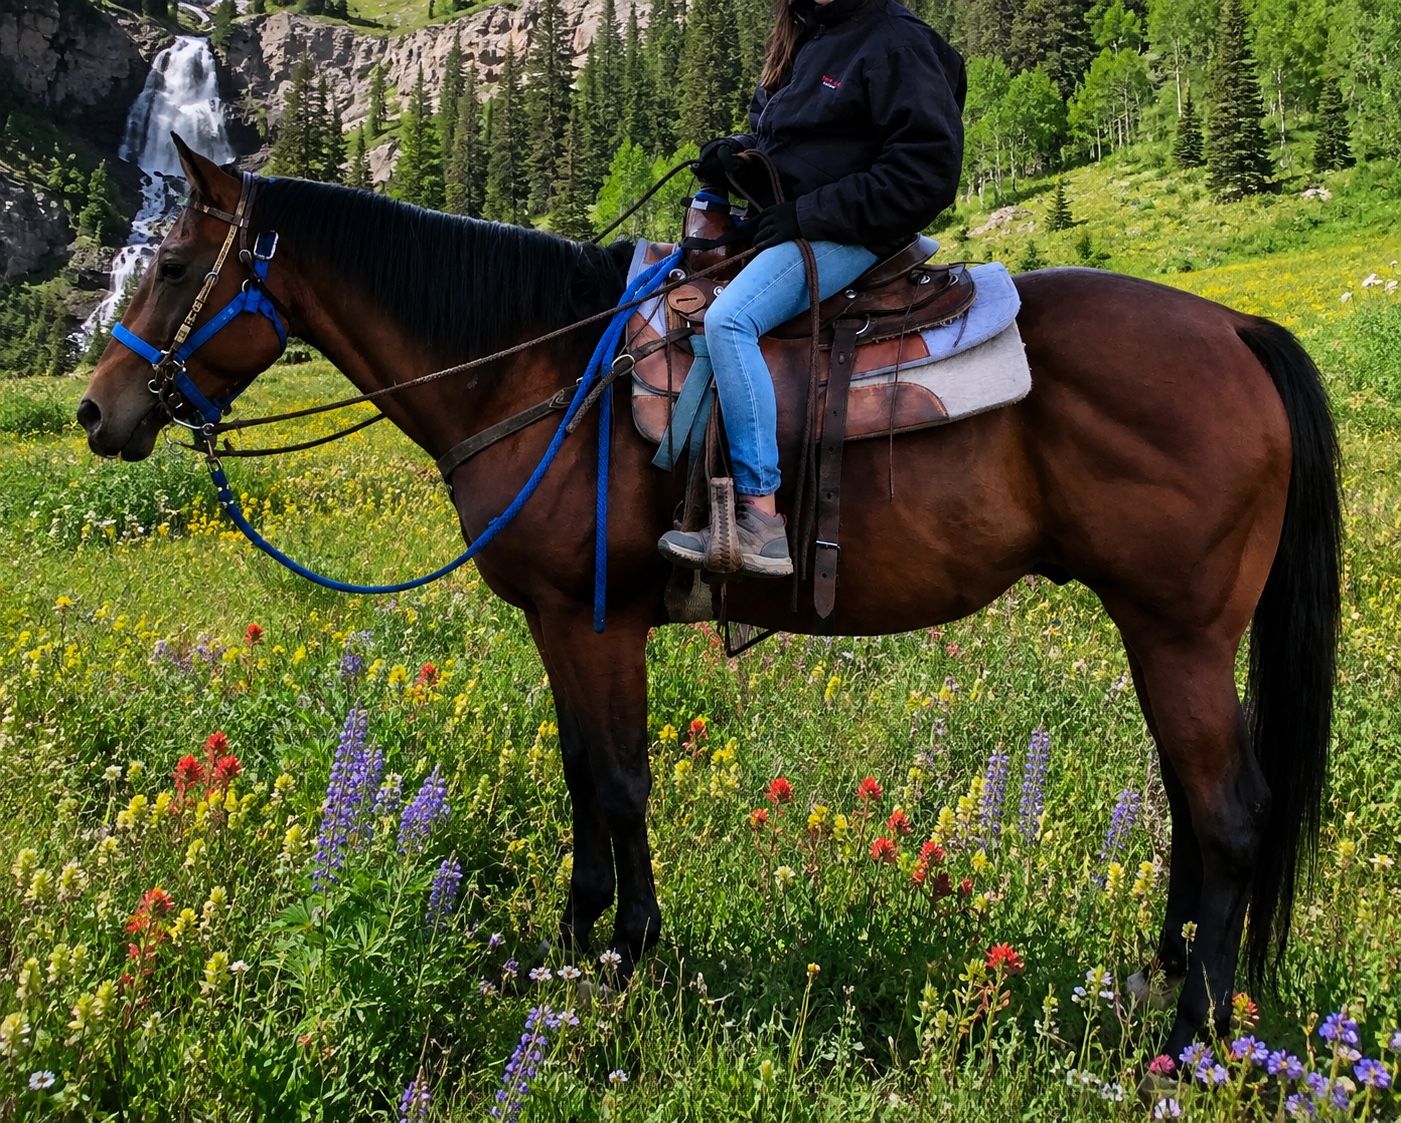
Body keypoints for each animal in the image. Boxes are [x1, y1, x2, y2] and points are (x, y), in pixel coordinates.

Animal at [78, 139, 1341, 1061]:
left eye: (177, 266)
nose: (98, 411)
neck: (536, 371)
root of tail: (1237, 328)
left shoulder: (596, 617)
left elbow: (618, 780)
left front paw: (623, 955)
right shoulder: (559, 619)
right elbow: (583, 773)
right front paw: (578, 939)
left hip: (1180, 632)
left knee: (1230, 811)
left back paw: (1188, 1039)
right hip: (1162, 633)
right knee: (1193, 804)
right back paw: (1159, 982)